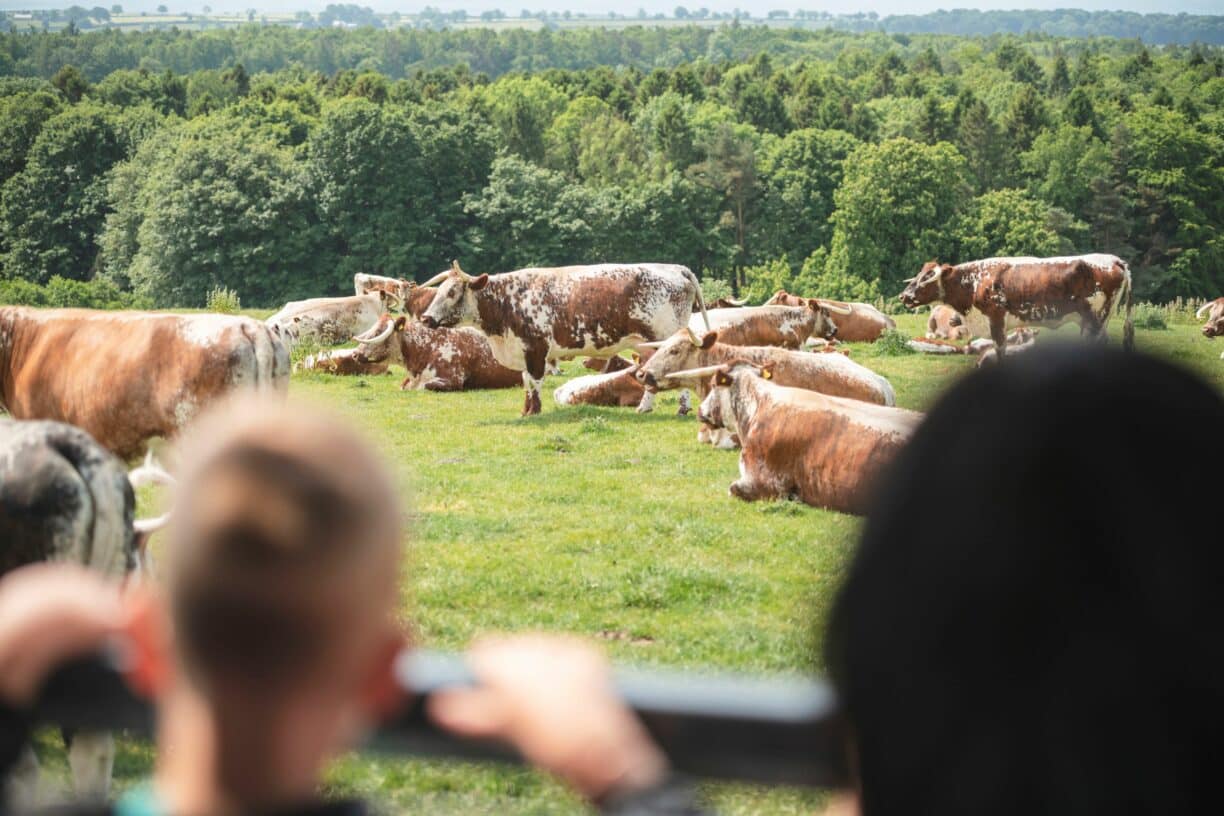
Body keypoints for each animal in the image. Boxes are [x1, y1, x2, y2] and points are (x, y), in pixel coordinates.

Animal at [419, 261, 709, 415]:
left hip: (665, 338)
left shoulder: (535, 349)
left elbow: (535, 382)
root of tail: (675, 268)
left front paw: (534, 411)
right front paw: (525, 410)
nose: (426, 319)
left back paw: (673, 408)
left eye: (452, 292)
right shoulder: (523, 352)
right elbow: (526, 381)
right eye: (440, 290)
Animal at [899, 254, 1134, 360]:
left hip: (1095, 319)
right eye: (919, 274)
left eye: (928, 278)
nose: (903, 296)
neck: (974, 282)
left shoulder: (996, 321)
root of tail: (1114, 260)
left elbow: (1000, 351)